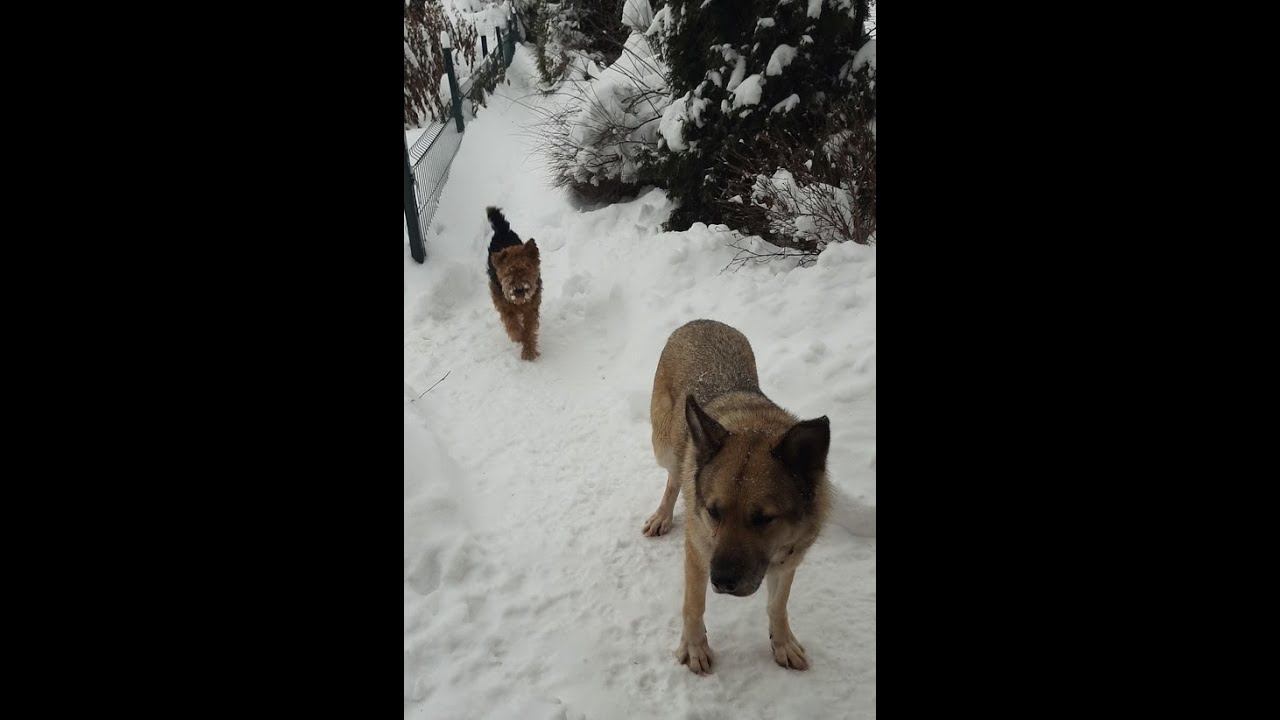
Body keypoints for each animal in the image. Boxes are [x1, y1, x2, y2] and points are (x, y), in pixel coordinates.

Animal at [486, 207, 542, 361]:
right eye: (508, 272)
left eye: (526, 268)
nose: (519, 289)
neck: (519, 303)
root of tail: (502, 229)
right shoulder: (504, 306)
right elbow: (512, 324)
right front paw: (518, 336)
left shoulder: (531, 307)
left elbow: (529, 328)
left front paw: (528, 351)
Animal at [644, 319, 831, 675]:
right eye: (714, 511)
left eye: (764, 518)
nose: (721, 580)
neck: (756, 428)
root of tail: (702, 321)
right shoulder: (699, 551)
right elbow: (693, 605)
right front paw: (694, 647)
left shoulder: (788, 559)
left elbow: (777, 605)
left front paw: (782, 642)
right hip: (664, 444)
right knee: (674, 476)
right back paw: (662, 515)